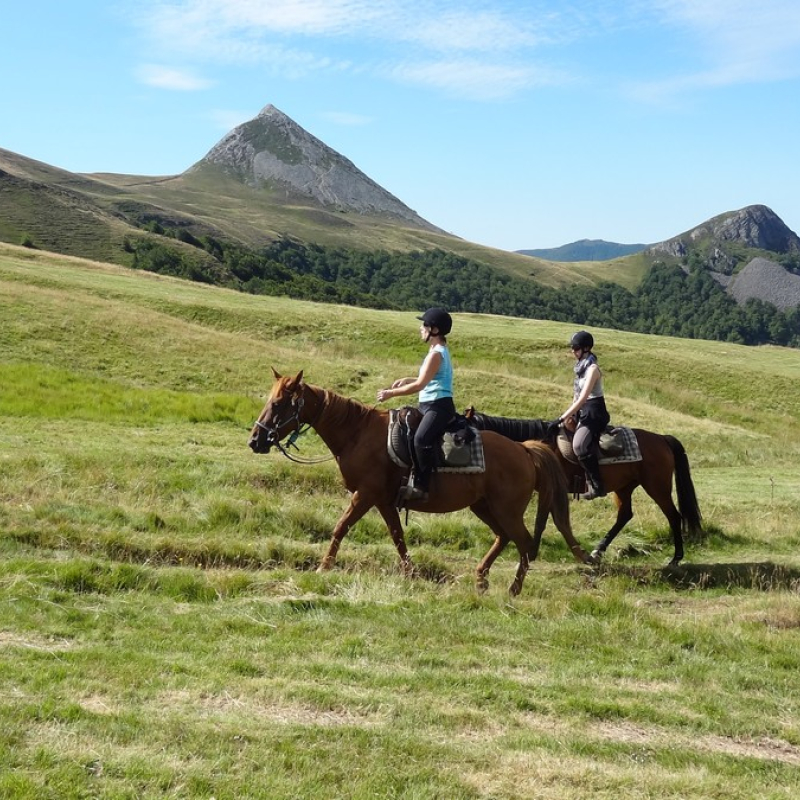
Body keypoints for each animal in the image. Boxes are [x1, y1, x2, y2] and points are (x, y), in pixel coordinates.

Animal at [250, 370, 592, 592]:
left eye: (278, 404)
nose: (255, 440)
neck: (357, 434)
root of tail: (524, 450)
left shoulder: (365, 494)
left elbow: (341, 526)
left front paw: (324, 566)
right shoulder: (383, 500)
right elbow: (397, 535)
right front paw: (410, 572)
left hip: (506, 509)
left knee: (524, 542)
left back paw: (514, 588)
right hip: (484, 507)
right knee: (505, 538)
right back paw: (481, 578)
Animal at [466, 410, 704, 564]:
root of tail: (662, 439)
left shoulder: (551, 490)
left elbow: (544, 520)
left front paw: (532, 550)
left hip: (657, 487)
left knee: (674, 516)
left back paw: (676, 558)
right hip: (624, 487)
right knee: (625, 515)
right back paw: (599, 549)